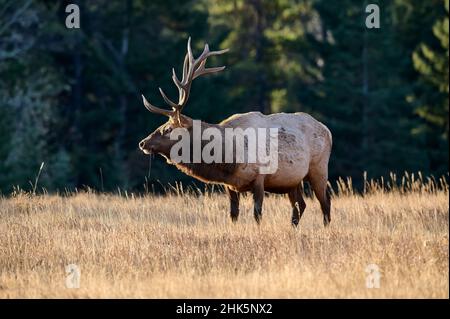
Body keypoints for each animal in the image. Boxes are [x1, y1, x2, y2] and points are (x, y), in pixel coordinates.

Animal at [139, 37, 332, 228]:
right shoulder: (230, 185)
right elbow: (233, 214)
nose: (142, 143)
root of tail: (328, 130)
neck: (230, 159)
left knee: (325, 202)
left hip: (318, 168)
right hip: (292, 180)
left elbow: (257, 214)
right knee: (300, 205)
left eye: (168, 129)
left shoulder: (260, 178)